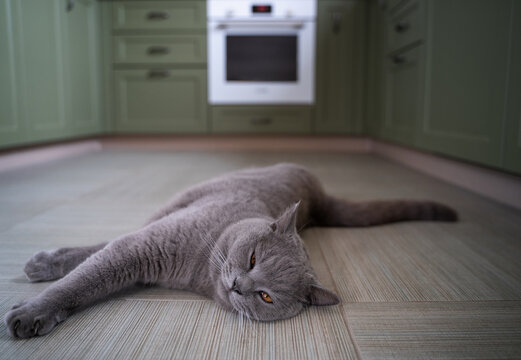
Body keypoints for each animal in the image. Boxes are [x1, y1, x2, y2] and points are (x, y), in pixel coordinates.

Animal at [3, 163, 456, 338]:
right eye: (253, 259)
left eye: (266, 297)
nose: (239, 285)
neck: (197, 272)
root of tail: (320, 199)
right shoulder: (144, 246)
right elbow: (83, 281)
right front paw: (34, 312)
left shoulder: (142, 260)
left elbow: (94, 275)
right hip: (184, 198)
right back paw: (44, 263)